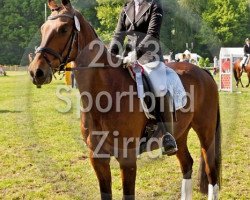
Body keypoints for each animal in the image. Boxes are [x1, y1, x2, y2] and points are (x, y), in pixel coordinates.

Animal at [28, 0, 222, 199]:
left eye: (64, 29)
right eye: (43, 29)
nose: (36, 72)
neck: (104, 96)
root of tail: (202, 71)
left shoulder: (127, 159)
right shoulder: (98, 158)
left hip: (206, 133)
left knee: (211, 170)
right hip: (180, 134)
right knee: (187, 164)